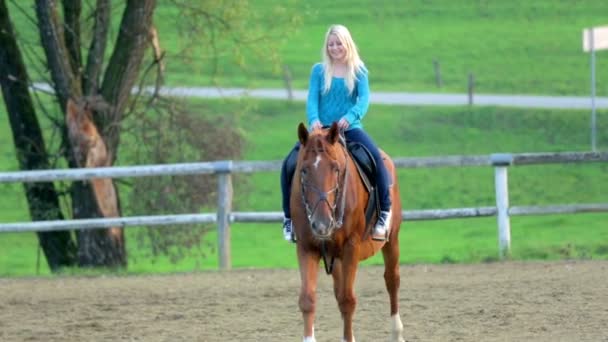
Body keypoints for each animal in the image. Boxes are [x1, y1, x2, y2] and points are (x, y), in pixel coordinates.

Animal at [292, 123, 406, 342]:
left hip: (392, 239)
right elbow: (308, 299)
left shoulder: (350, 248)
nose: (321, 224)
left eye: (336, 169)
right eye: (304, 170)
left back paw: (397, 333)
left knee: (392, 280)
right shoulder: (306, 247)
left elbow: (347, 301)